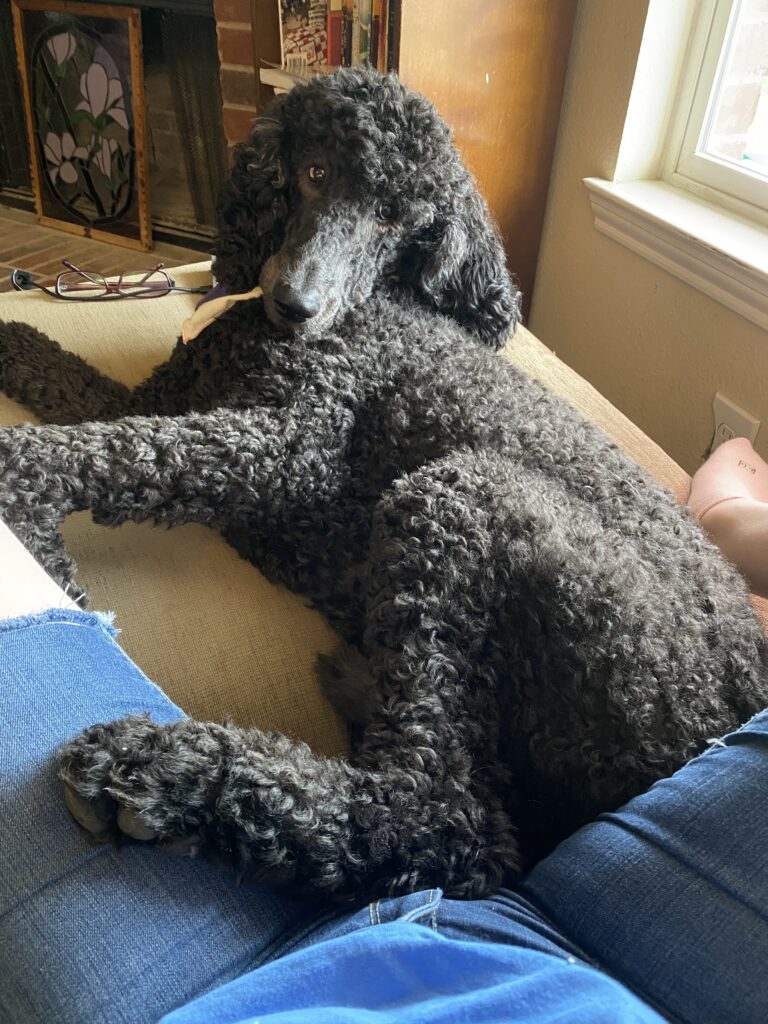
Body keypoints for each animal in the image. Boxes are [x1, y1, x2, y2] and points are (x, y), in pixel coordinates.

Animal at [1, 68, 768, 901]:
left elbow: (119, 451)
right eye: (312, 172)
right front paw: (12, 341)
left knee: (442, 819)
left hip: (462, 498)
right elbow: (82, 401)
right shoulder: (162, 396)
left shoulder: (293, 447)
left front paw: (22, 494)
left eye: (394, 219)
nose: (297, 304)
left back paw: (167, 774)